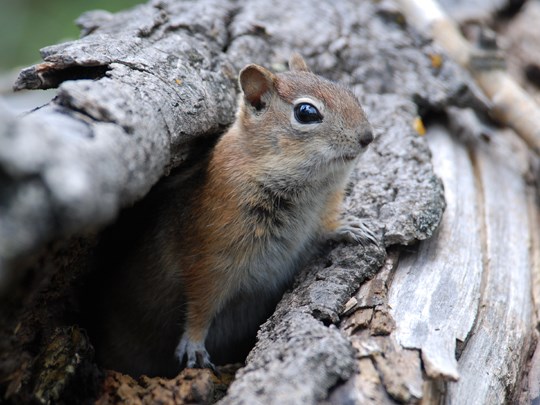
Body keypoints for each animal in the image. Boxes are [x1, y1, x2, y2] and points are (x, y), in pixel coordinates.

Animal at [86, 52, 378, 376]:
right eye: (306, 112)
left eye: (348, 92)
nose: (368, 136)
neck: (309, 192)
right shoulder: (211, 255)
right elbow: (201, 300)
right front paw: (194, 343)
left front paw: (350, 226)